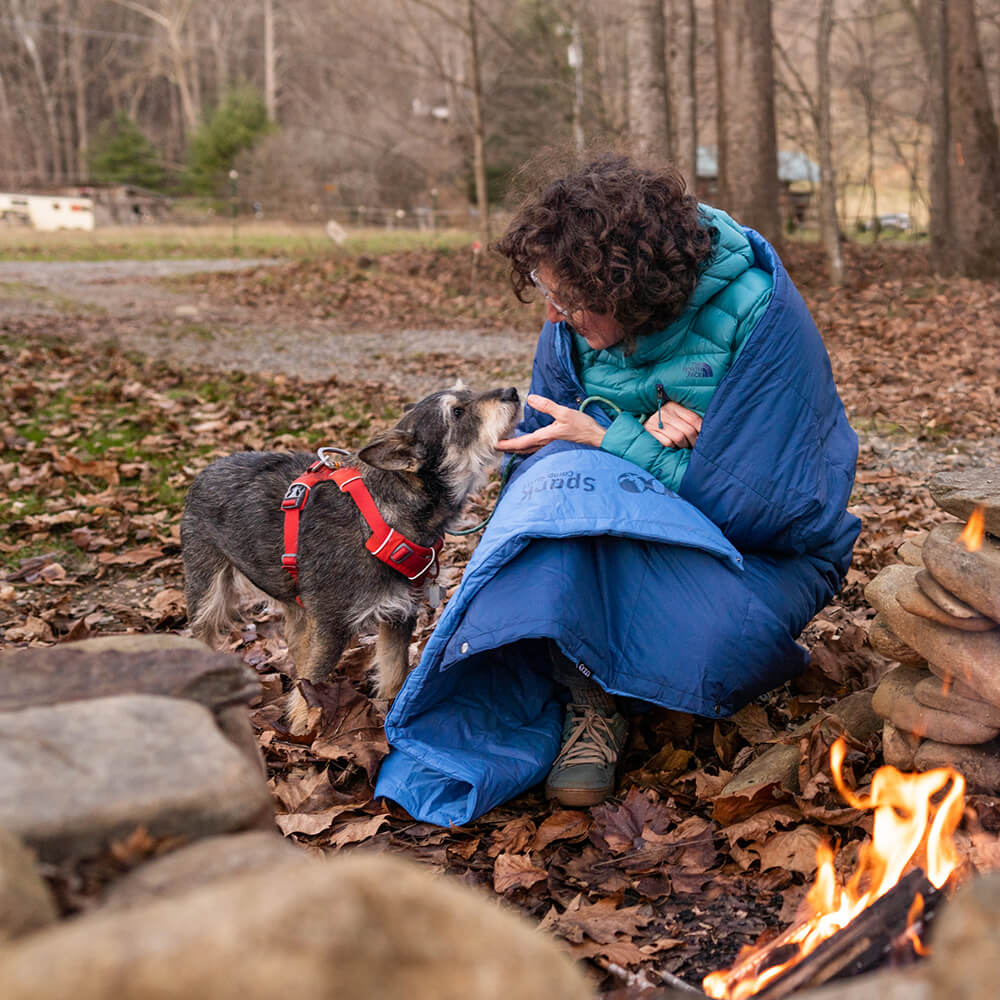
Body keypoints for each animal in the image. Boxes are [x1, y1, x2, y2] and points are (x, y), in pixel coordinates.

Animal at [183, 384, 520, 720]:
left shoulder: (399, 615)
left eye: (467, 390)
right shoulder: (330, 626)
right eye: (457, 412)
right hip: (207, 594)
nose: (512, 391)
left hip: (297, 603)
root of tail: (206, 469)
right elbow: (309, 694)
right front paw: (304, 727)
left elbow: (394, 674)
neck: (381, 518)